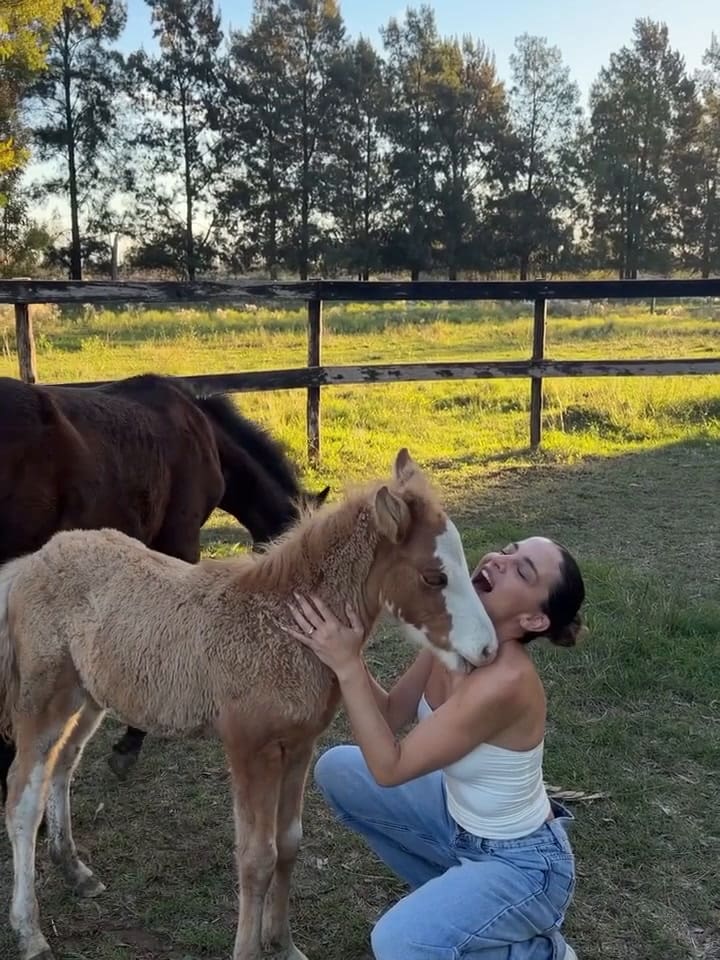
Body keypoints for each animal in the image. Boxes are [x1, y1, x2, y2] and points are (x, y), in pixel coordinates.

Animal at [0, 448, 497, 960]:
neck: (282, 627)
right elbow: (257, 857)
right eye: (434, 576)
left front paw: (283, 942)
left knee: (62, 765)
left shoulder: (299, 746)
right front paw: (250, 948)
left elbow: (289, 842)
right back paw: (31, 932)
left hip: (89, 696)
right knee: (21, 797)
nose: (486, 649)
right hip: (42, 699)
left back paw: (75, 870)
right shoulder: (248, 748)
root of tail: (31, 561)